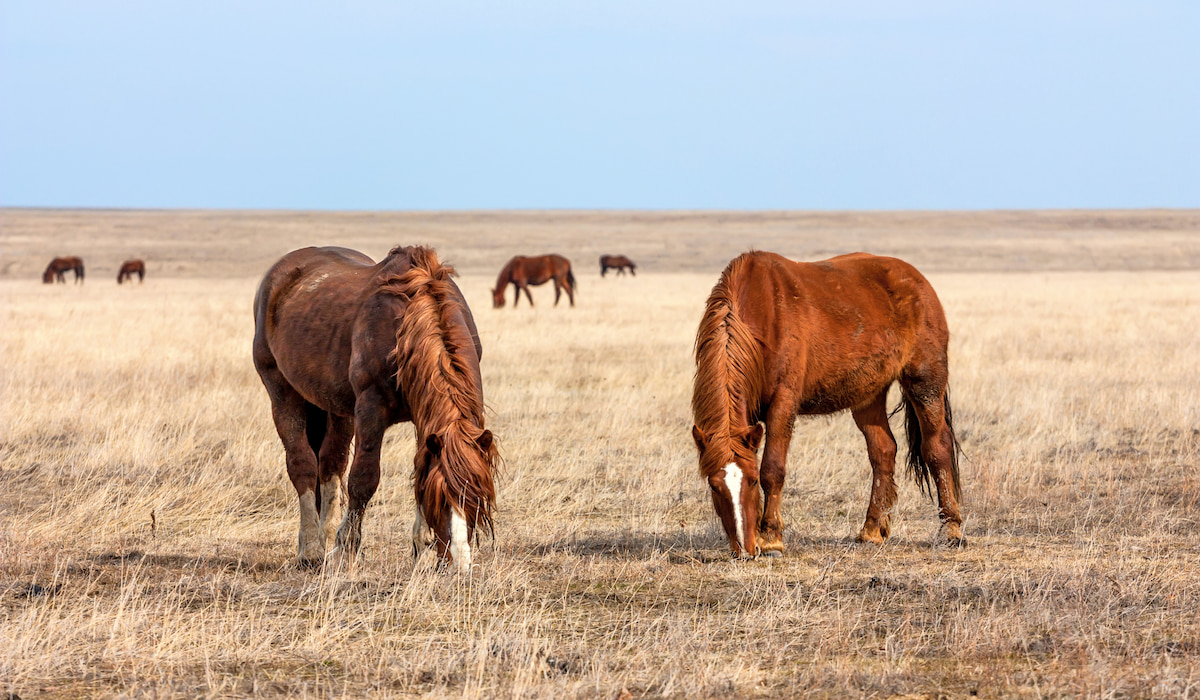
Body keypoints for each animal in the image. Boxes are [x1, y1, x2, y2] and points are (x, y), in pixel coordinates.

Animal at [253, 245, 499, 573]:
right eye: (440, 500)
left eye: (477, 497)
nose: (458, 565)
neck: (408, 328)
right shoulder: (371, 409)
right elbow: (363, 479)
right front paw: (346, 549)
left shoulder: (423, 420)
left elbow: (419, 469)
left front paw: (420, 548)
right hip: (282, 391)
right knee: (302, 463)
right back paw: (312, 548)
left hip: (336, 409)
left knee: (330, 464)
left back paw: (325, 536)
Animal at [690, 251, 964, 559]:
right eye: (714, 486)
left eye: (751, 480)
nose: (745, 550)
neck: (760, 316)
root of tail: (918, 281)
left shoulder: (783, 403)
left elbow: (772, 469)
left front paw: (771, 538)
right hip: (869, 395)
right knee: (883, 451)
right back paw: (871, 530)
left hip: (925, 383)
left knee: (937, 447)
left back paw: (951, 530)